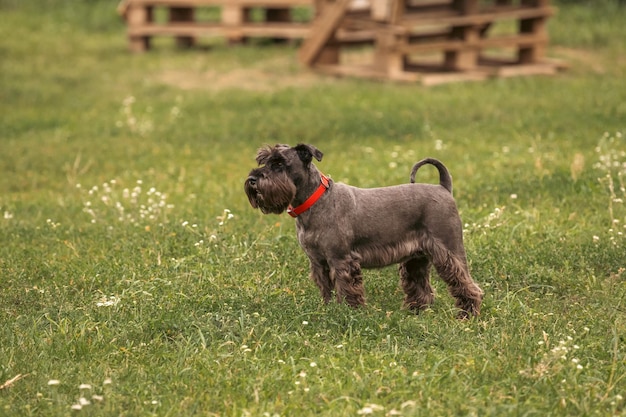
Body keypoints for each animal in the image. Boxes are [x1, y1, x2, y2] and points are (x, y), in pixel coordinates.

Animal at [245, 144, 482, 318]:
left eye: (279, 163)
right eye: (263, 160)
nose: (252, 180)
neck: (316, 201)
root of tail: (443, 188)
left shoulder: (341, 260)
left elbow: (346, 289)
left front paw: (349, 313)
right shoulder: (319, 263)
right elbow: (326, 290)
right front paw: (327, 311)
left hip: (448, 249)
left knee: (466, 282)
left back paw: (468, 314)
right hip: (417, 258)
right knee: (421, 287)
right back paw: (415, 312)